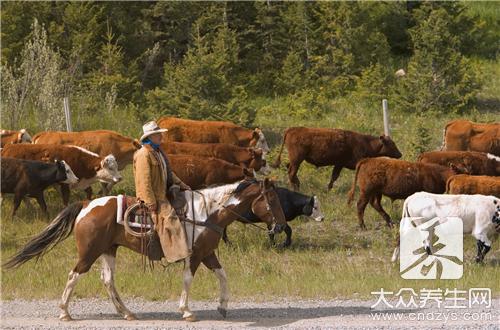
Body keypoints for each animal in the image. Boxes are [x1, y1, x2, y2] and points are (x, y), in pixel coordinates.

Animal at [3, 178, 288, 322]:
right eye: (272, 198)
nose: (282, 225)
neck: (207, 213)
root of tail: (86, 204)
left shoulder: (207, 253)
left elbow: (223, 275)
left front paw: (223, 306)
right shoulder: (194, 256)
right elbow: (188, 279)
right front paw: (186, 311)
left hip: (108, 250)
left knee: (107, 280)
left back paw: (126, 313)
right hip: (89, 252)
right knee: (74, 275)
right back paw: (64, 312)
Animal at [272, 127, 400, 189]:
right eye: (392, 144)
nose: (400, 154)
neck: (366, 143)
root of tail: (292, 129)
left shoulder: (339, 164)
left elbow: (334, 177)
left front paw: (328, 189)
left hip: (295, 160)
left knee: (289, 169)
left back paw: (297, 185)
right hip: (297, 159)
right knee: (291, 172)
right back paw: (296, 187)